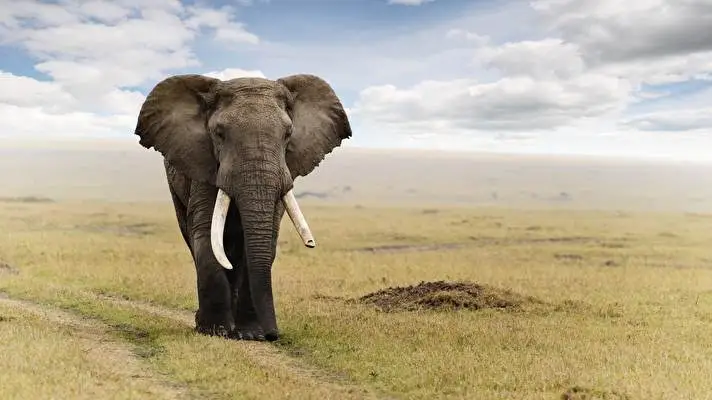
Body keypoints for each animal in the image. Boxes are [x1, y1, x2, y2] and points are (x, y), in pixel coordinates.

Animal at [132, 73, 352, 341]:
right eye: (219, 134)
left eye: (288, 134)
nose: (273, 335)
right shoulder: (204, 166)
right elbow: (206, 234)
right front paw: (215, 331)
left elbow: (264, 241)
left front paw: (251, 335)